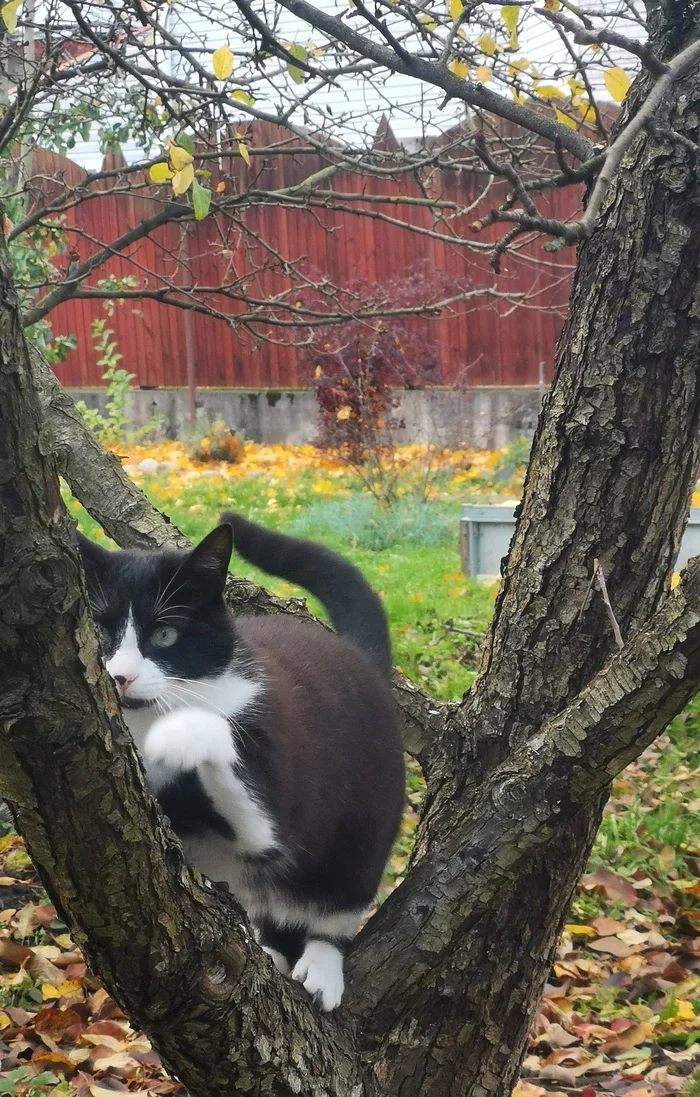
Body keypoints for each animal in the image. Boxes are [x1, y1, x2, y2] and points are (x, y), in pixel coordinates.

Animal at [76, 513, 405, 1009]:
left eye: (166, 634)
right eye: (100, 629)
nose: (120, 677)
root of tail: (358, 656)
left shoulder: (269, 797)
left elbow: (258, 819)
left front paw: (177, 735)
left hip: (365, 817)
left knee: (337, 894)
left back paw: (322, 966)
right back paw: (270, 950)